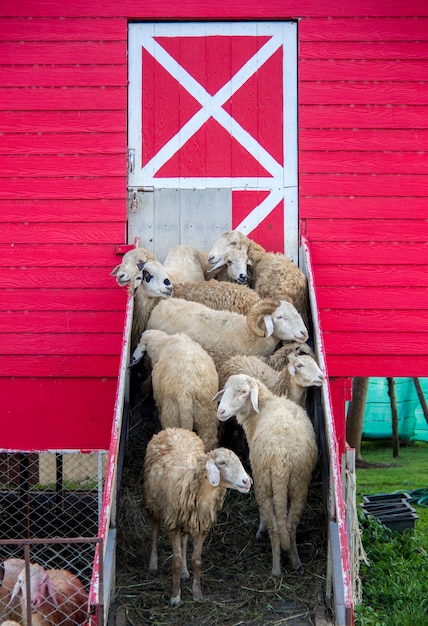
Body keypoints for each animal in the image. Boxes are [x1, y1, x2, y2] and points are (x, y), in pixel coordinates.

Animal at [214, 376, 318, 576]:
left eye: (243, 391)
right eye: (226, 388)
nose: (221, 411)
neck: (263, 406)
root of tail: (281, 460)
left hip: (263, 480)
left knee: (275, 528)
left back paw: (276, 568)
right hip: (299, 483)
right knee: (290, 526)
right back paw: (296, 563)